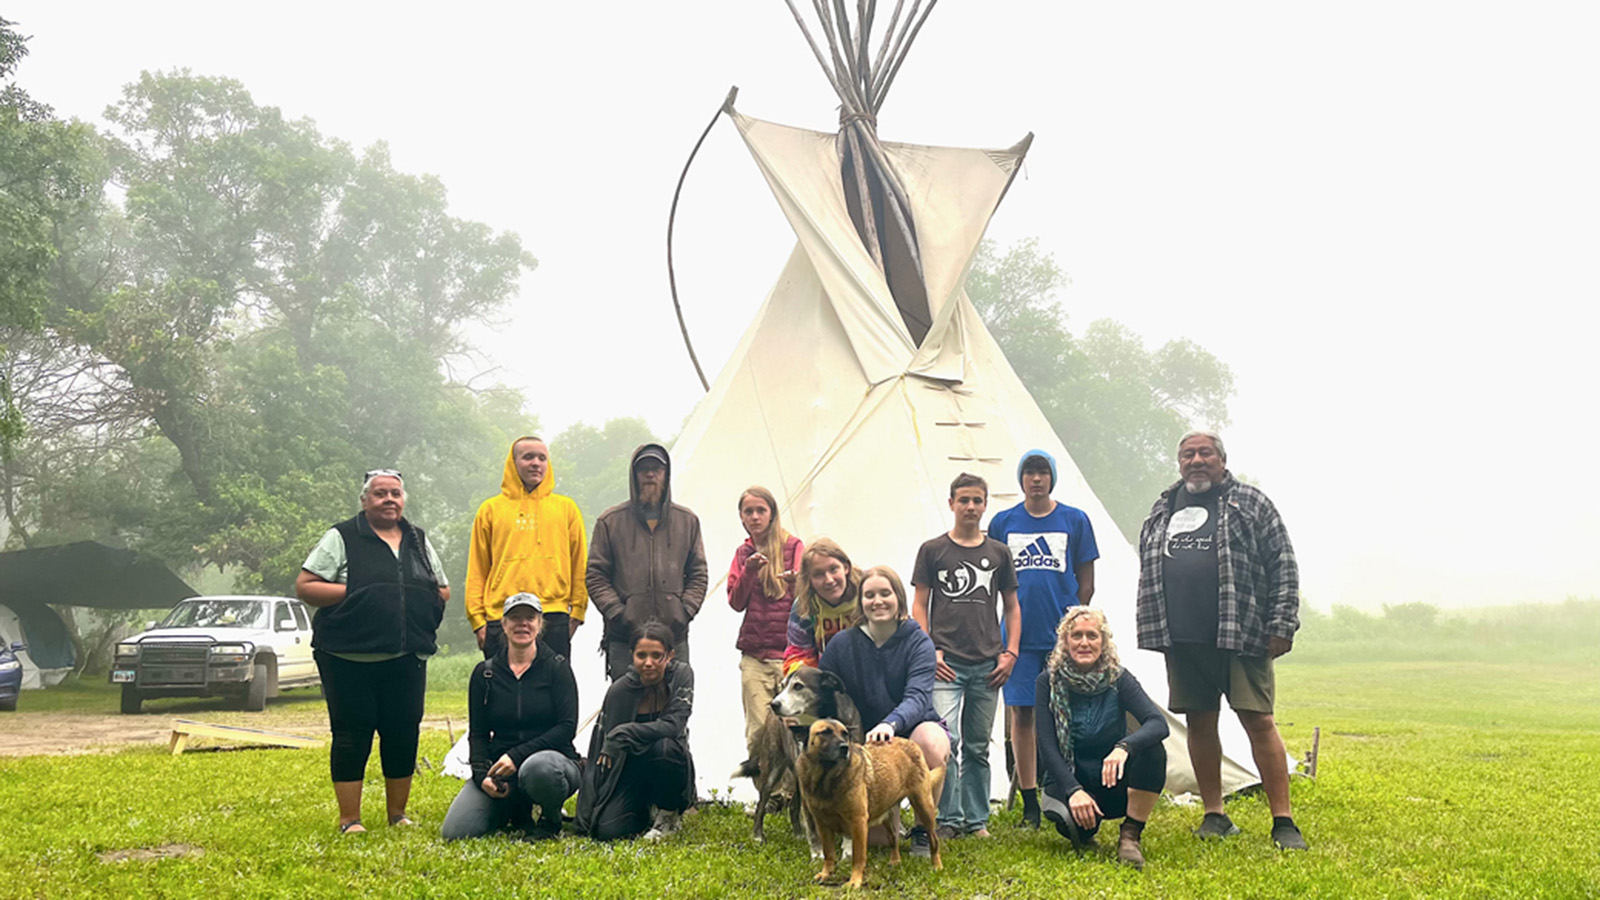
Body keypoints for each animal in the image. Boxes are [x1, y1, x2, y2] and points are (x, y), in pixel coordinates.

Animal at [796, 714, 940, 883]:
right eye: (825, 732)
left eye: (845, 734)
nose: (844, 747)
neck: (827, 780)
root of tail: (909, 742)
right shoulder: (822, 825)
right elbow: (828, 854)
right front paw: (826, 874)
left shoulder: (858, 823)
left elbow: (858, 857)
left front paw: (854, 882)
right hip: (888, 816)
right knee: (894, 839)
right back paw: (895, 862)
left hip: (923, 805)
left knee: (934, 840)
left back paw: (937, 866)